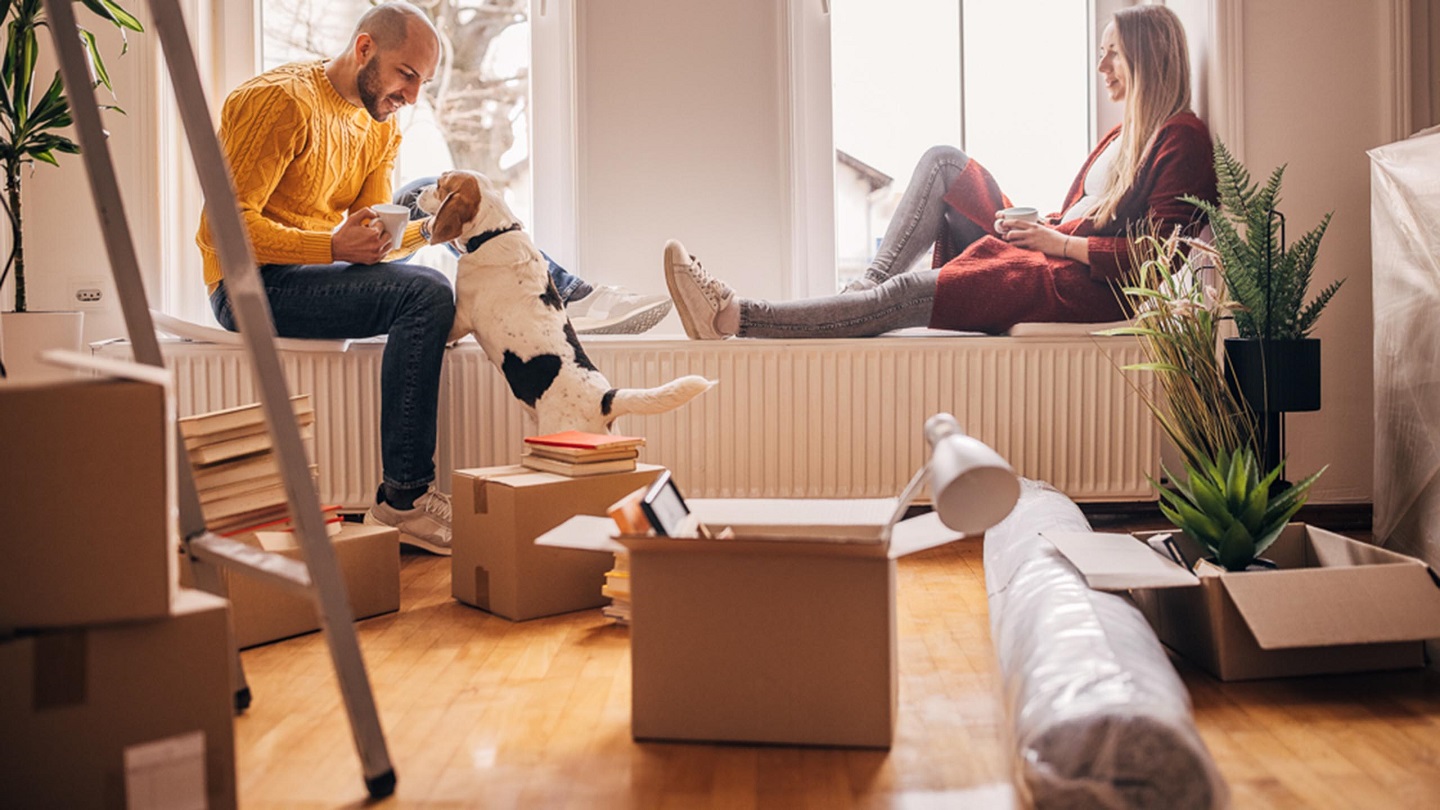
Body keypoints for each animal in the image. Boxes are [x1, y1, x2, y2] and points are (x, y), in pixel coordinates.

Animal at [417, 170, 714, 435]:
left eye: (441, 184)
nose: (417, 192)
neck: (496, 232)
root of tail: (603, 400)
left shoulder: (463, 315)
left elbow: (452, 328)